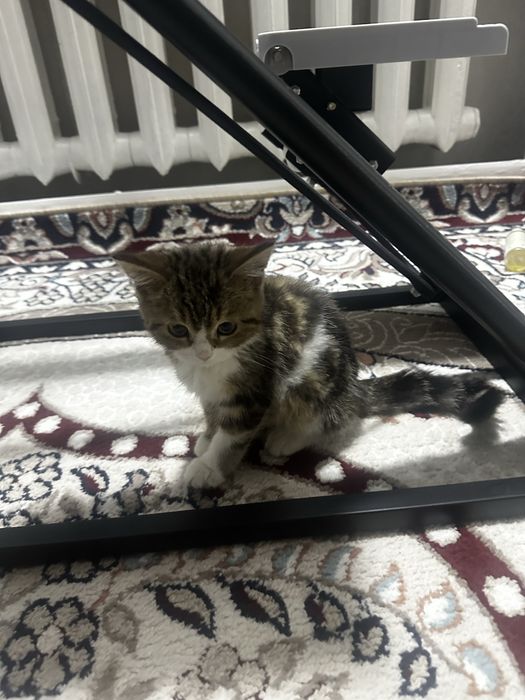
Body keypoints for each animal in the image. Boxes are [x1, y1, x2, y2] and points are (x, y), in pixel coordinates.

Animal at [115, 240, 504, 491]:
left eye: (225, 328)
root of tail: (354, 389)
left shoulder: (257, 386)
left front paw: (209, 467)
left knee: (330, 418)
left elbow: (234, 432)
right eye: (178, 330)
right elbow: (214, 415)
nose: (203, 353)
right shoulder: (210, 390)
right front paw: (207, 438)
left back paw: (285, 438)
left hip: (312, 378)